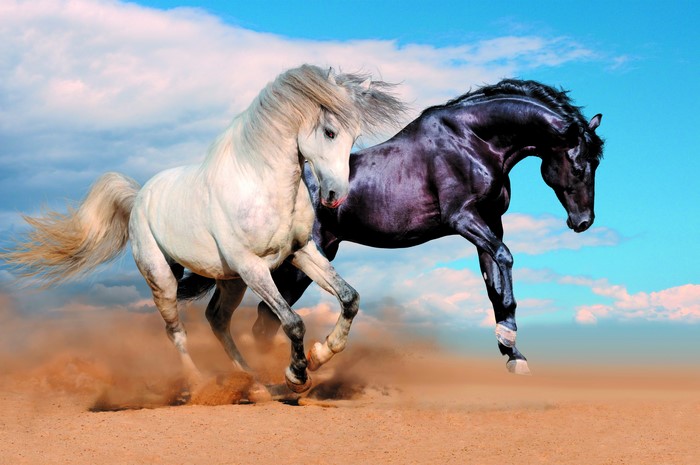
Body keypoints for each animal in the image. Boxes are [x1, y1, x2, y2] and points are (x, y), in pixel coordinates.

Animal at [2, 64, 406, 398]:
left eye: (354, 135)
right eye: (329, 131)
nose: (335, 196)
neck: (262, 186)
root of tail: (139, 197)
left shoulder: (299, 252)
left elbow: (349, 297)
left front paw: (323, 353)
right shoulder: (252, 266)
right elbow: (292, 322)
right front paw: (297, 376)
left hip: (230, 281)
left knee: (217, 320)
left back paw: (252, 382)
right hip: (165, 278)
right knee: (176, 331)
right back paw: (199, 384)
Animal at [179, 79, 604, 376]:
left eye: (597, 163)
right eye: (579, 164)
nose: (582, 223)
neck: (474, 141)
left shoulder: (489, 224)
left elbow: (496, 286)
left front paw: (513, 353)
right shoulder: (464, 218)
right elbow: (506, 259)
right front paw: (509, 341)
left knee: (265, 321)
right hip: (300, 263)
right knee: (265, 320)